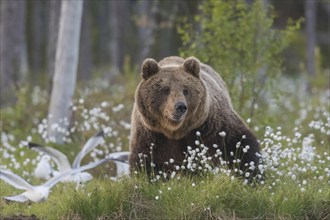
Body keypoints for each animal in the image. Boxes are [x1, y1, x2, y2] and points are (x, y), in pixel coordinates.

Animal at [129, 55, 262, 181]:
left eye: (185, 90)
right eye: (166, 90)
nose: (180, 106)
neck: (175, 131)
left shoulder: (210, 126)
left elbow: (239, 143)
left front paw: (253, 176)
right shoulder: (152, 134)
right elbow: (145, 160)